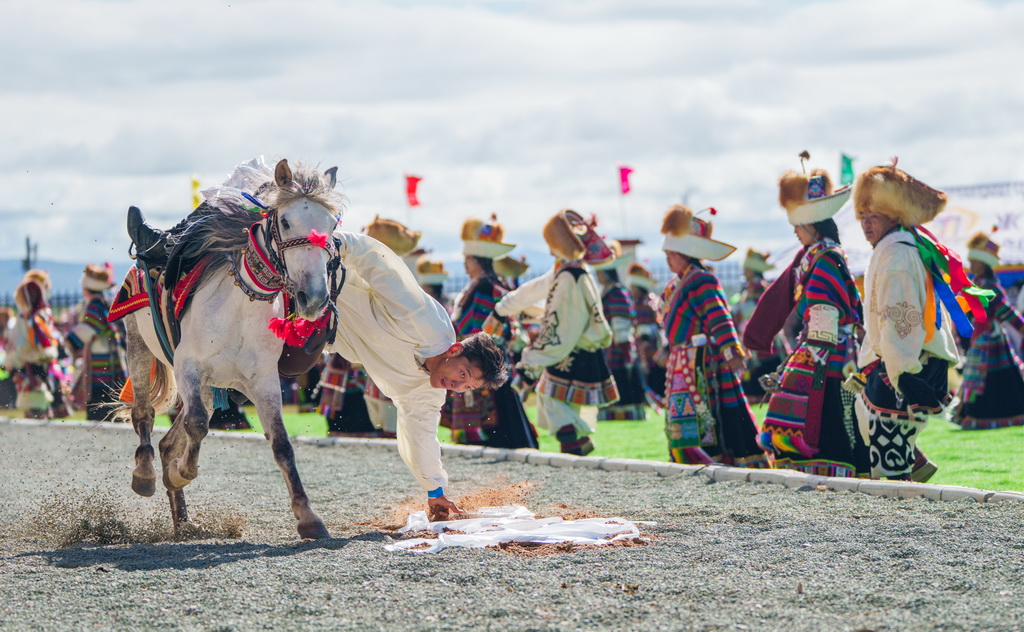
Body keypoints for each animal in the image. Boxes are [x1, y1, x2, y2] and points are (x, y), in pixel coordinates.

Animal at [121, 158, 343, 539]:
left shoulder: (263, 381)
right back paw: (146, 475)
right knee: (145, 415)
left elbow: (281, 444)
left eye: (330, 225)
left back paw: (184, 522)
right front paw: (180, 472)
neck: (240, 306)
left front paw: (308, 517)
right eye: (286, 221)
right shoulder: (188, 366)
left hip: (210, 388)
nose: (313, 298)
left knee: (169, 442)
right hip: (138, 345)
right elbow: (195, 425)